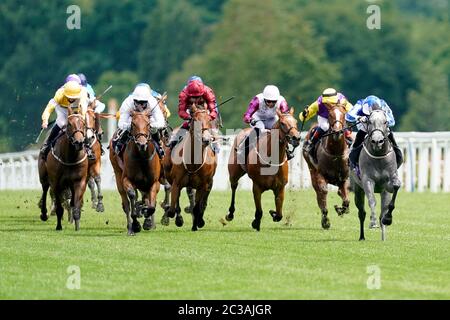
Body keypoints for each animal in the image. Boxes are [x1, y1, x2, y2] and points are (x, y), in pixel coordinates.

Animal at [348, 109, 400, 240]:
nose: (377, 141)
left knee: (382, 211)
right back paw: (362, 236)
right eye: (369, 121)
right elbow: (372, 201)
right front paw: (373, 222)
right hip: (358, 190)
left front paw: (388, 219)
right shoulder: (367, 180)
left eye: (385, 122)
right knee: (361, 213)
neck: (378, 156)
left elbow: (396, 187)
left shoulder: (388, 183)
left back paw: (383, 236)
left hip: (383, 192)